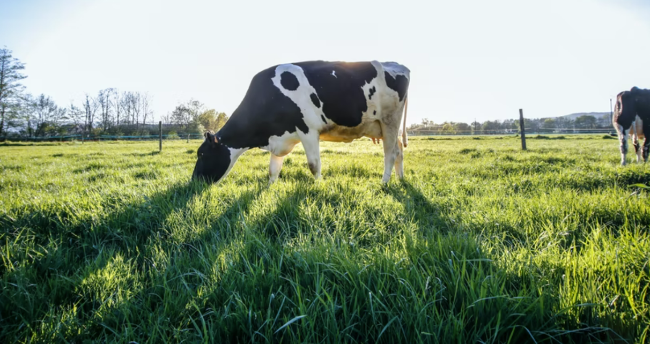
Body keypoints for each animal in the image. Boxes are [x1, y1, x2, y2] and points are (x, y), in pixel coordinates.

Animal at [190, 60, 410, 184]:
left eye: (202, 154)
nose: (193, 182)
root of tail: (396, 64)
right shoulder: (279, 136)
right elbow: (273, 170)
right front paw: (269, 188)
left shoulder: (308, 130)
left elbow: (314, 165)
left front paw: (319, 186)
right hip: (386, 126)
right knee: (399, 151)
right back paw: (400, 179)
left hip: (390, 120)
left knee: (390, 154)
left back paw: (384, 183)